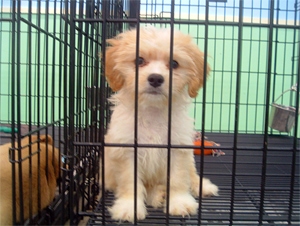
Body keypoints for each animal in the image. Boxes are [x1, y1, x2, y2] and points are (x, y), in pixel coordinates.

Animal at [102, 25, 218, 222]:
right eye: (139, 60)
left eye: (174, 64)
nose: (156, 78)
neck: (153, 111)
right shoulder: (126, 150)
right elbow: (129, 182)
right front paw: (129, 207)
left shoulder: (178, 147)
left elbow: (179, 178)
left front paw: (179, 202)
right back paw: (158, 194)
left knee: (191, 173)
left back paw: (201, 186)